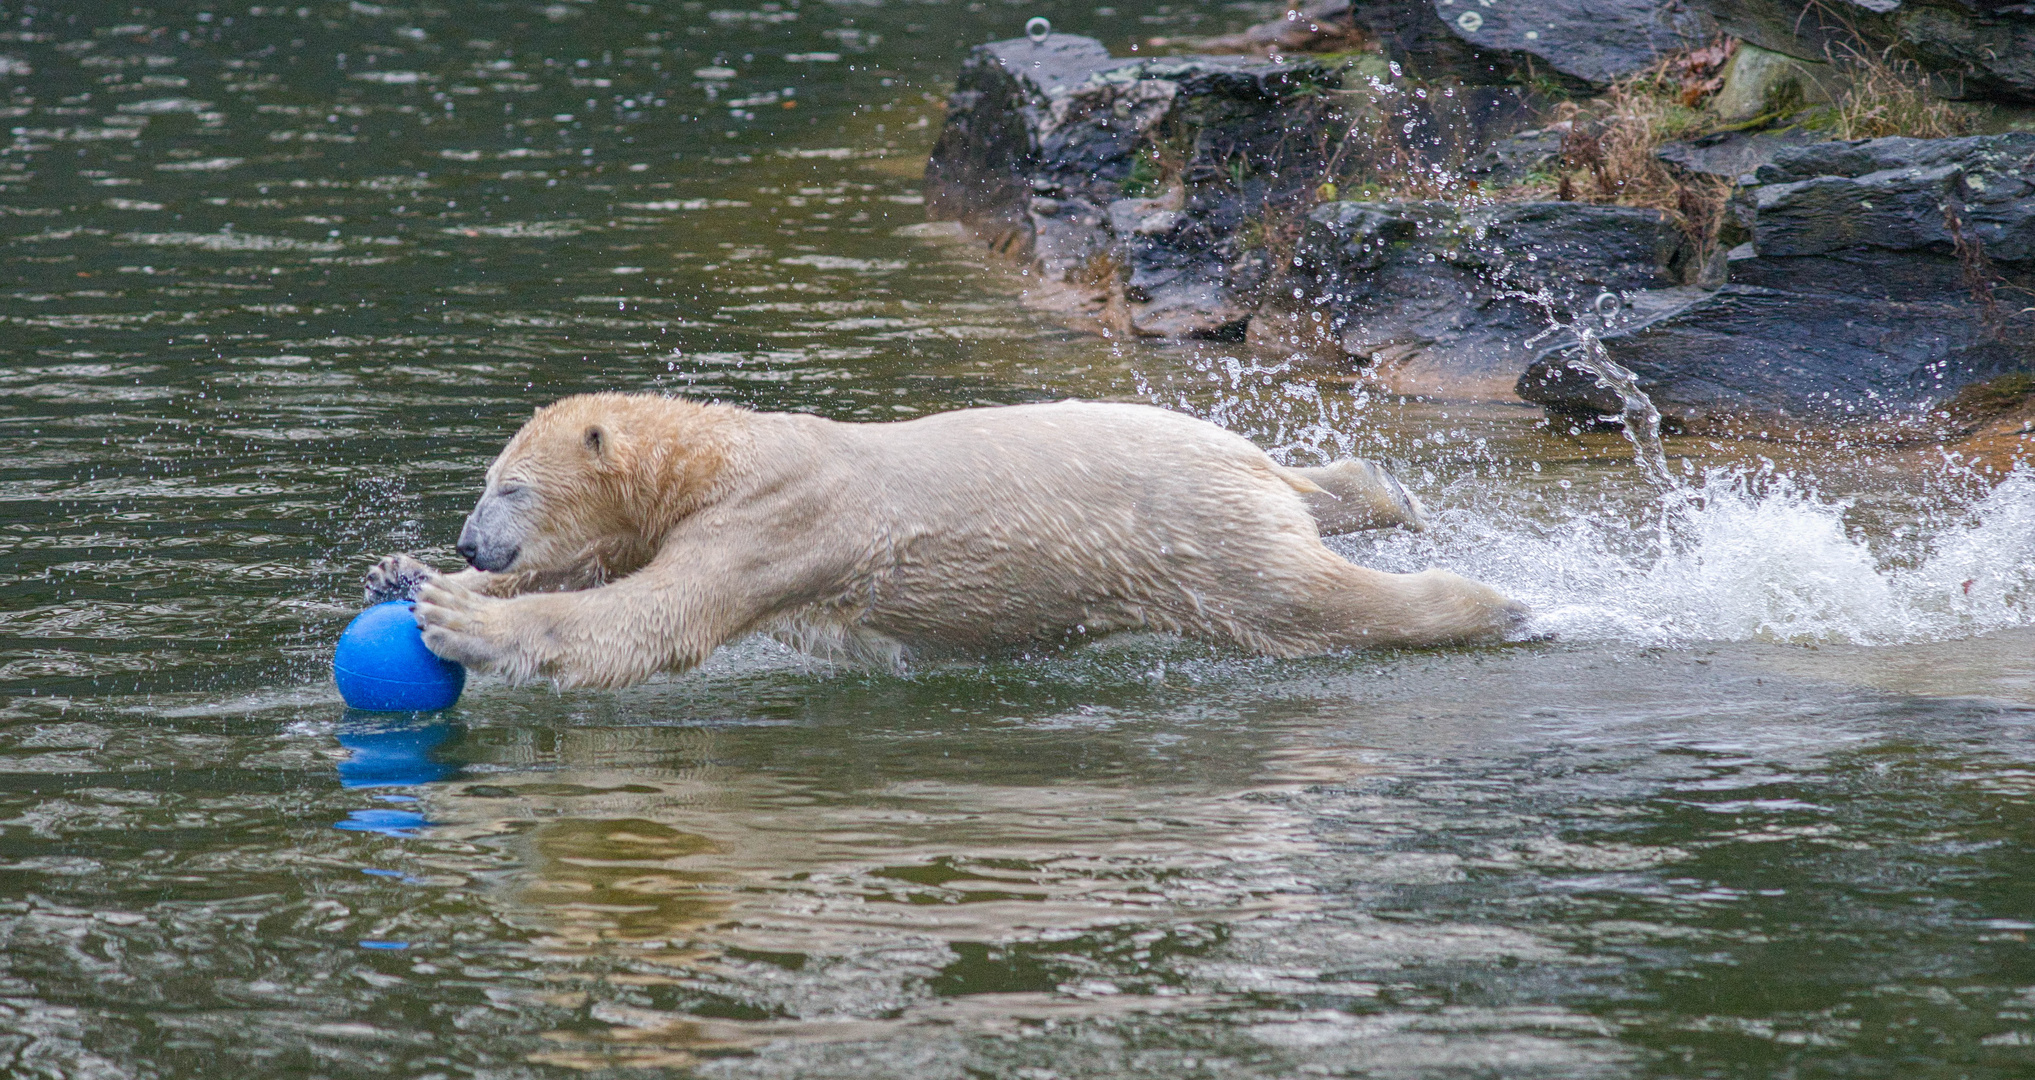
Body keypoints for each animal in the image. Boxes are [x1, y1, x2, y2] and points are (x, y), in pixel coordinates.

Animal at [366, 392, 1522, 687]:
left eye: (508, 486)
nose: (470, 545)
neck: (726, 453)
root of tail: (1245, 469)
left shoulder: (779, 522)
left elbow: (653, 618)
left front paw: (457, 619)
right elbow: (613, 567)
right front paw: (397, 567)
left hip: (1193, 535)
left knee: (1302, 603)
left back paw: (1500, 601)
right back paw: (1376, 490)